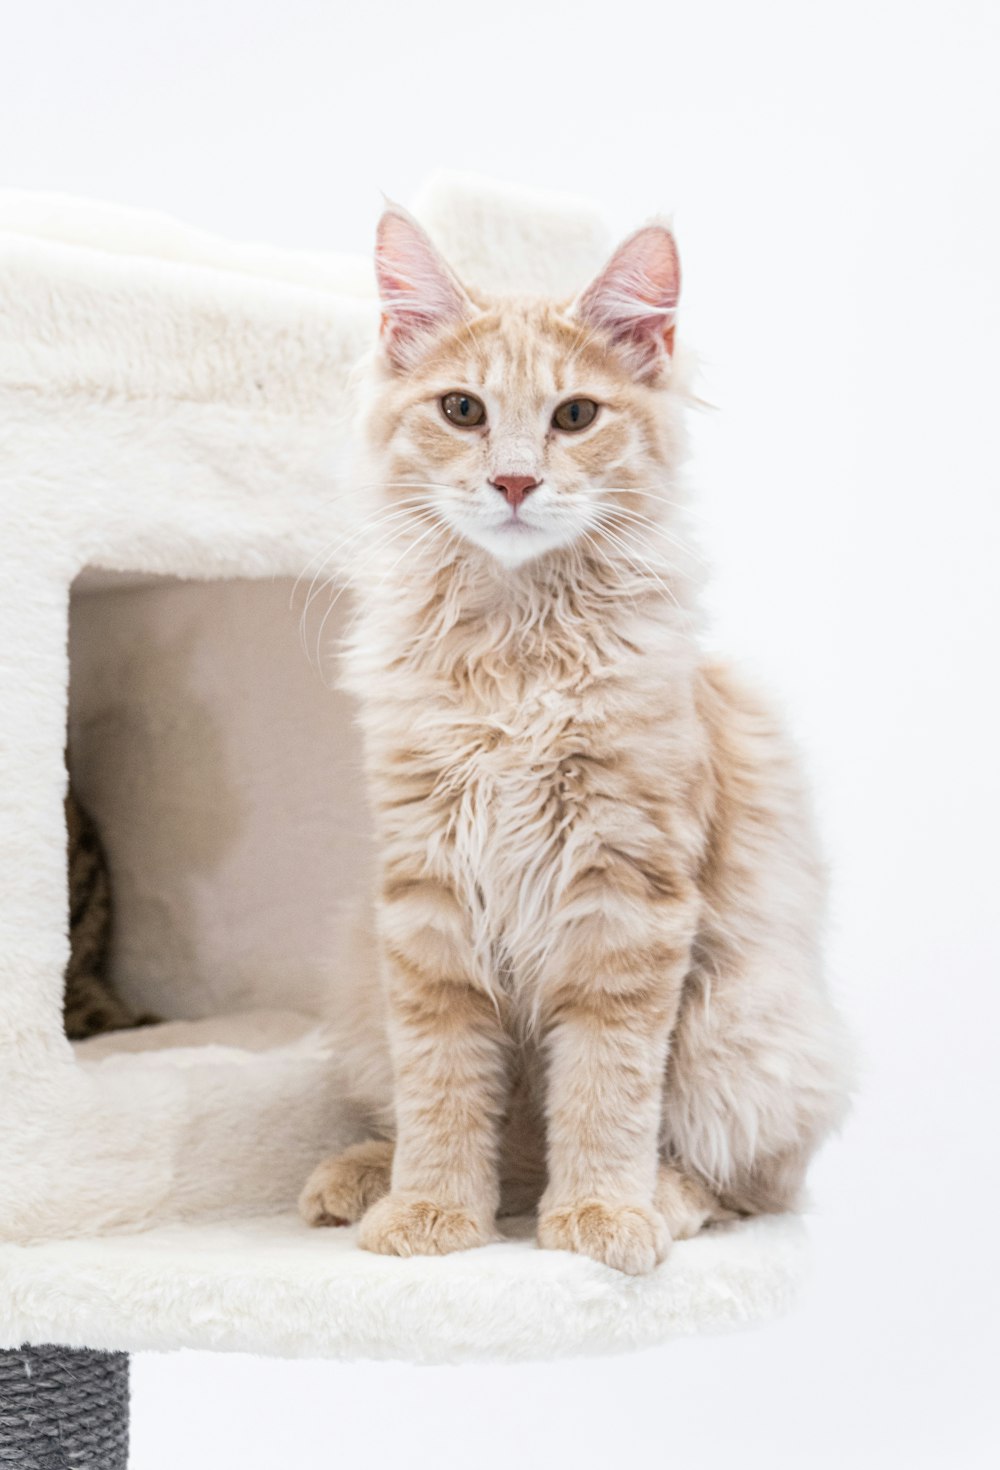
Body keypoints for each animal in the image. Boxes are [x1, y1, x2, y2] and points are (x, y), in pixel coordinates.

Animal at [297, 204, 852, 1275]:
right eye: (462, 411)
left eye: (575, 418)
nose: (515, 480)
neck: (516, 651)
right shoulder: (427, 902)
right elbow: (443, 1087)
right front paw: (432, 1210)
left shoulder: (626, 898)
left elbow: (605, 1089)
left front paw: (599, 1216)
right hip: (356, 969)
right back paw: (364, 1177)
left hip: (746, 1026)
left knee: (751, 1185)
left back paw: (660, 1200)